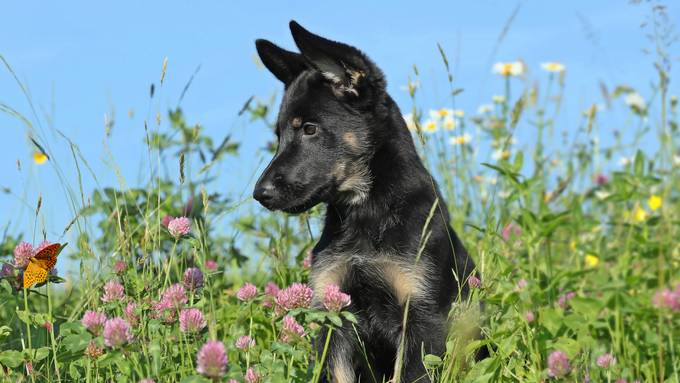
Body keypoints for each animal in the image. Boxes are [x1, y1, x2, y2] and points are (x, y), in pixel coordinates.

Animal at [252, 21, 476, 383]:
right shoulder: (334, 319)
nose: (260, 194)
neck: (366, 211)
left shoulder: (421, 316)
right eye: (279, 135)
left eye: (310, 129)